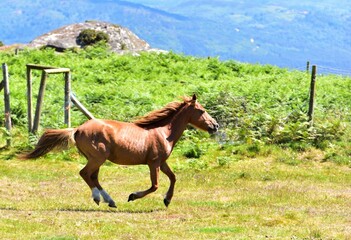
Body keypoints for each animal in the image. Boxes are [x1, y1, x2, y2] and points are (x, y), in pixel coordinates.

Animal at [20, 94, 219, 207]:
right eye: (202, 110)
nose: (215, 126)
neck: (163, 132)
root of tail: (77, 130)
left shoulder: (162, 163)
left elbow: (173, 177)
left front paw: (167, 200)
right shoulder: (153, 163)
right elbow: (154, 186)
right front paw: (132, 196)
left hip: (96, 159)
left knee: (93, 177)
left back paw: (110, 201)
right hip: (97, 158)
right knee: (85, 174)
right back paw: (98, 198)